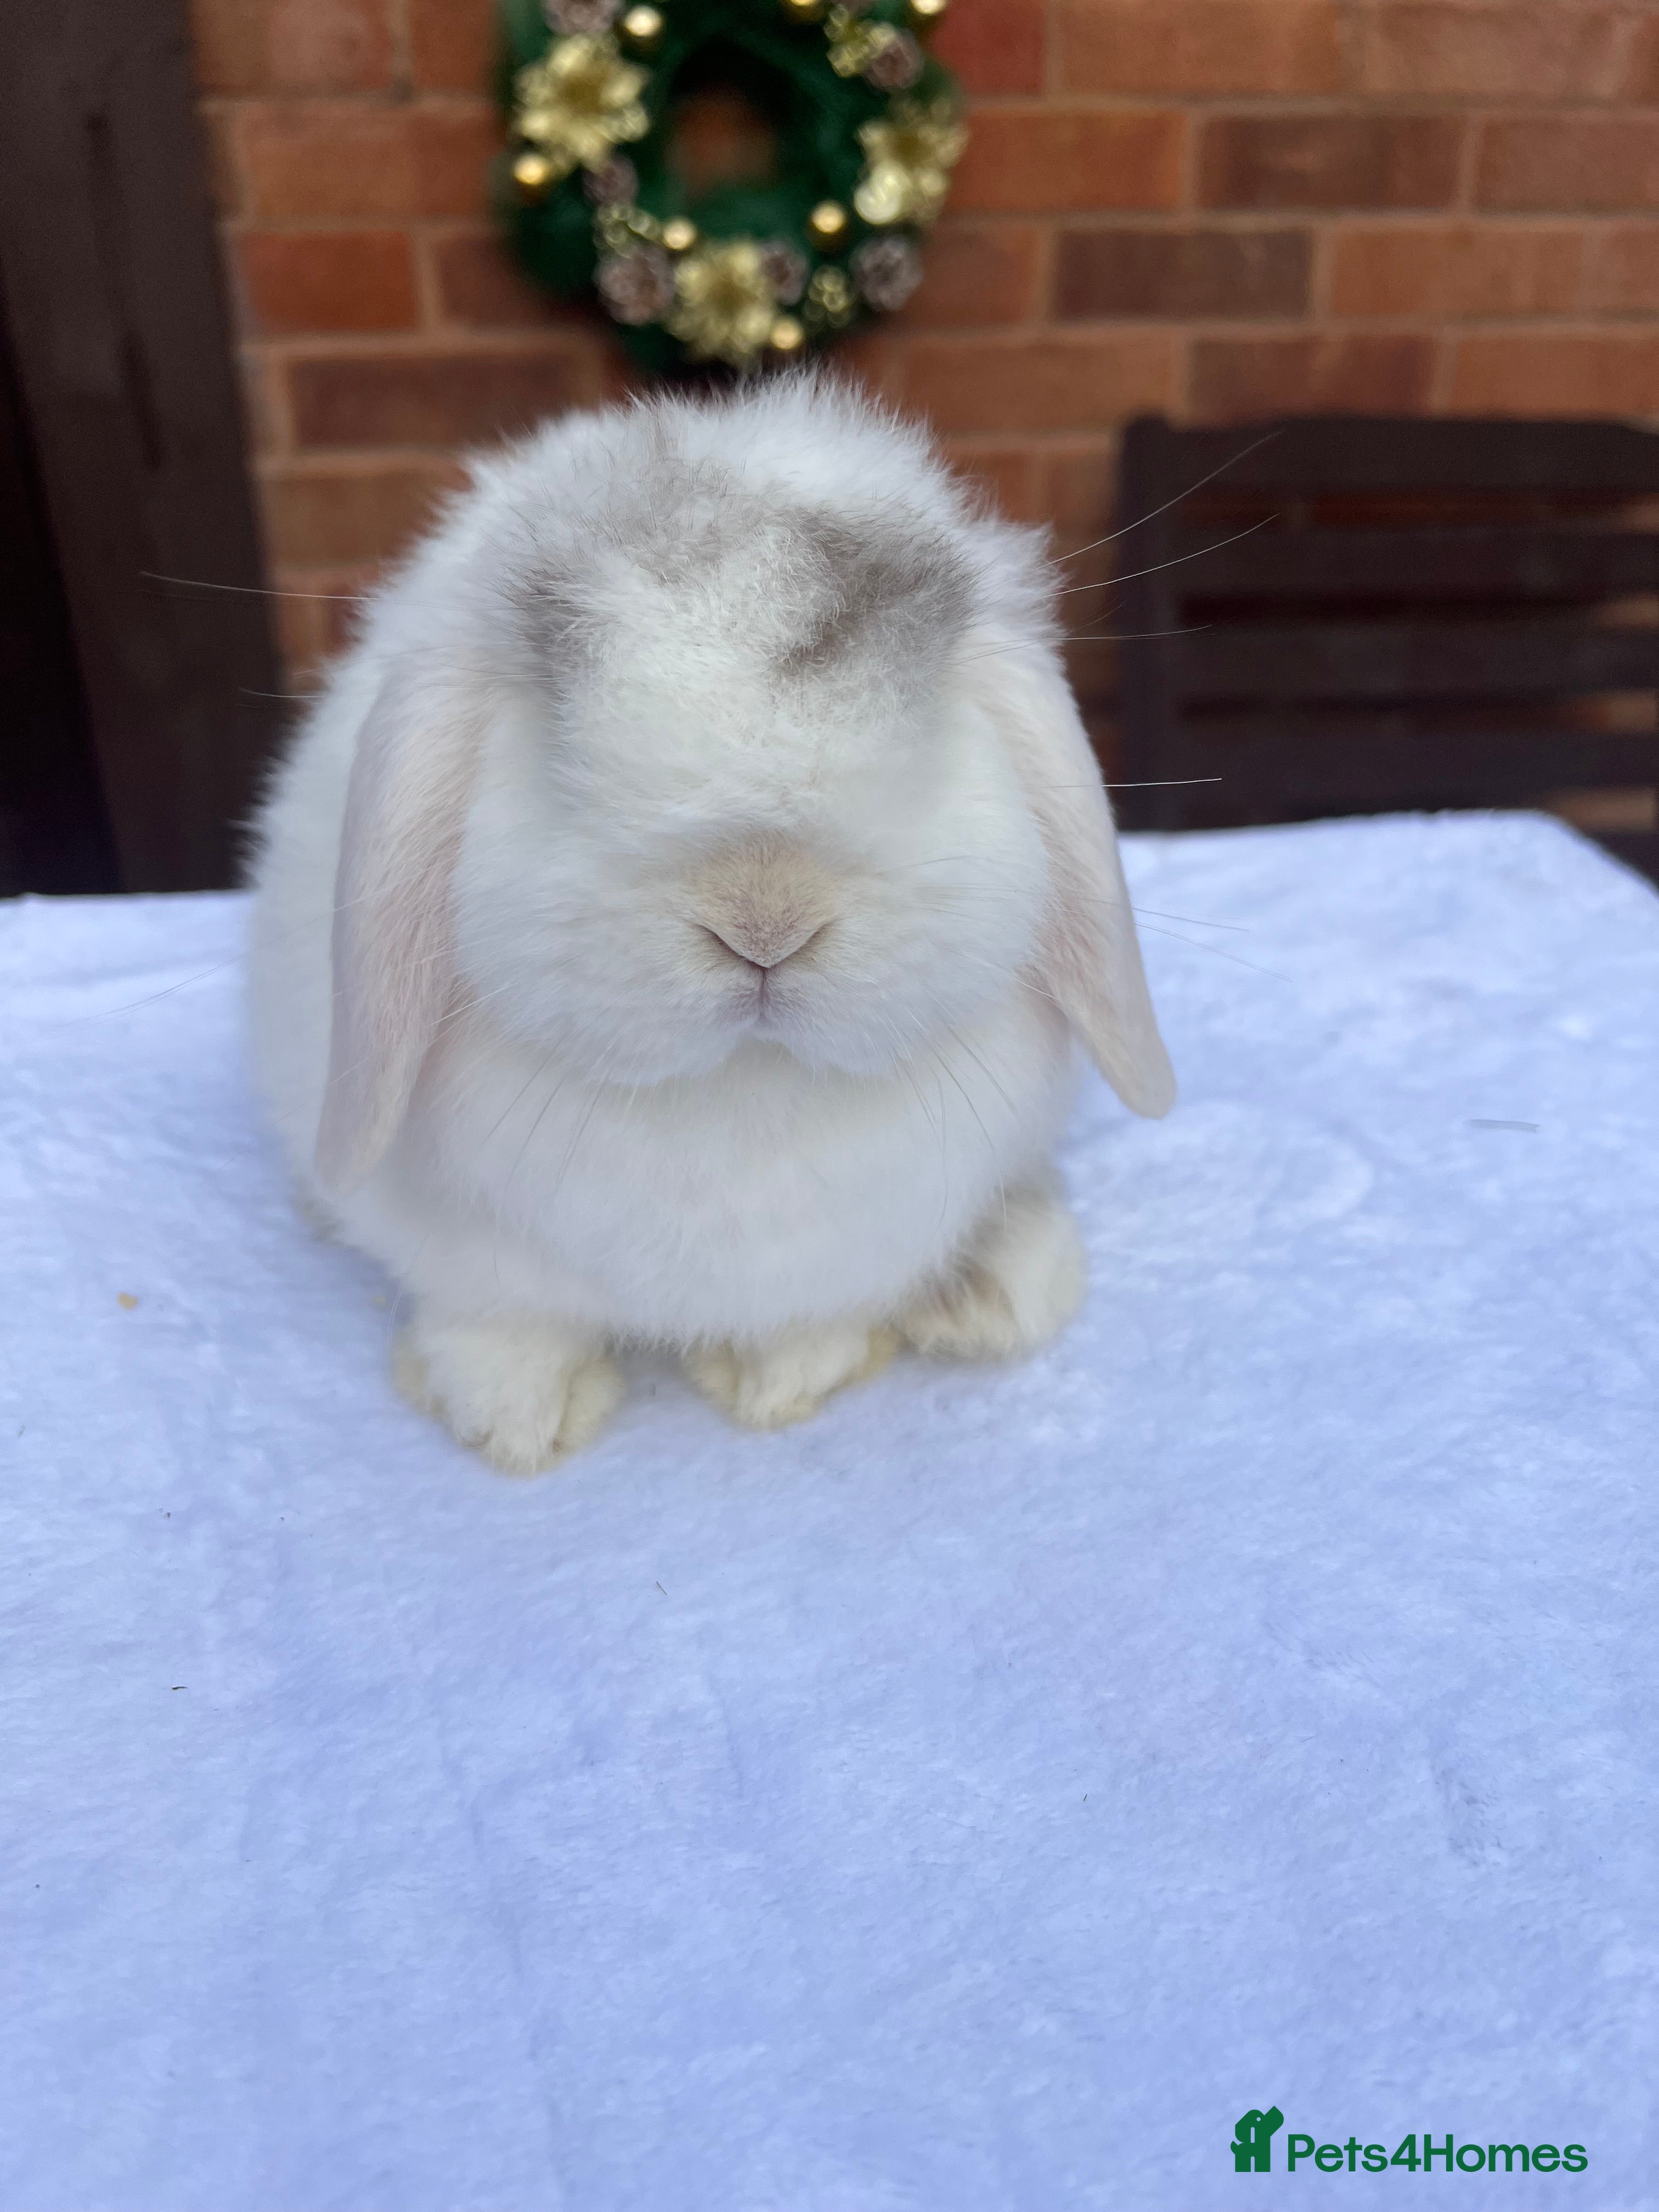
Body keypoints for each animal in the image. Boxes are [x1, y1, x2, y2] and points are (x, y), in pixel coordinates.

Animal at [245, 375, 1174, 1472]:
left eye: (934, 731)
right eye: (558, 750)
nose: (765, 921)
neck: (742, 1094)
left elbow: (812, 1324)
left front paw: (781, 1383)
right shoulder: (470, 1260)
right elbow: (501, 1323)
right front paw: (518, 1422)